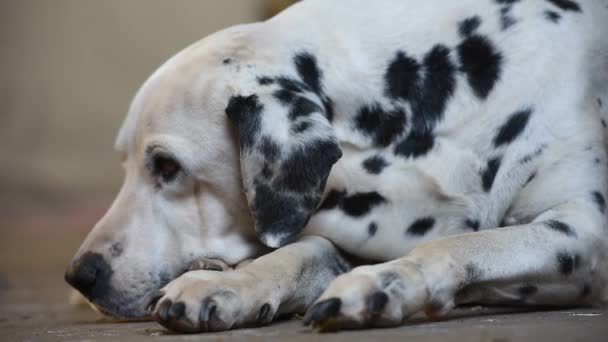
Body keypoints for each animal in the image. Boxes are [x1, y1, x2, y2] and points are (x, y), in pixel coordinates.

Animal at [63, 0, 608, 332]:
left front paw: (388, 283)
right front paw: (229, 283)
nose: (80, 276)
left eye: (167, 166)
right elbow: (298, 252)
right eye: (127, 164)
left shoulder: (583, 229)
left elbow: (462, 243)